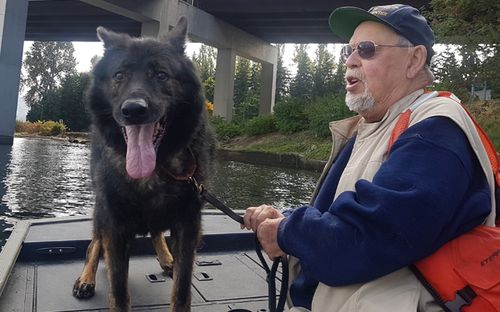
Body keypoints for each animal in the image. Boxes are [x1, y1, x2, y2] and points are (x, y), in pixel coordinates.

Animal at [71, 17, 216, 312]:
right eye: (119, 75)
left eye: (161, 74)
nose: (133, 110)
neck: (155, 170)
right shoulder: (114, 225)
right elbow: (119, 290)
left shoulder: (188, 224)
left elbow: (182, 289)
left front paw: (173, 264)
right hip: (101, 210)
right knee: (94, 243)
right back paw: (86, 278)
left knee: (156, 231)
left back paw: (167, 257)